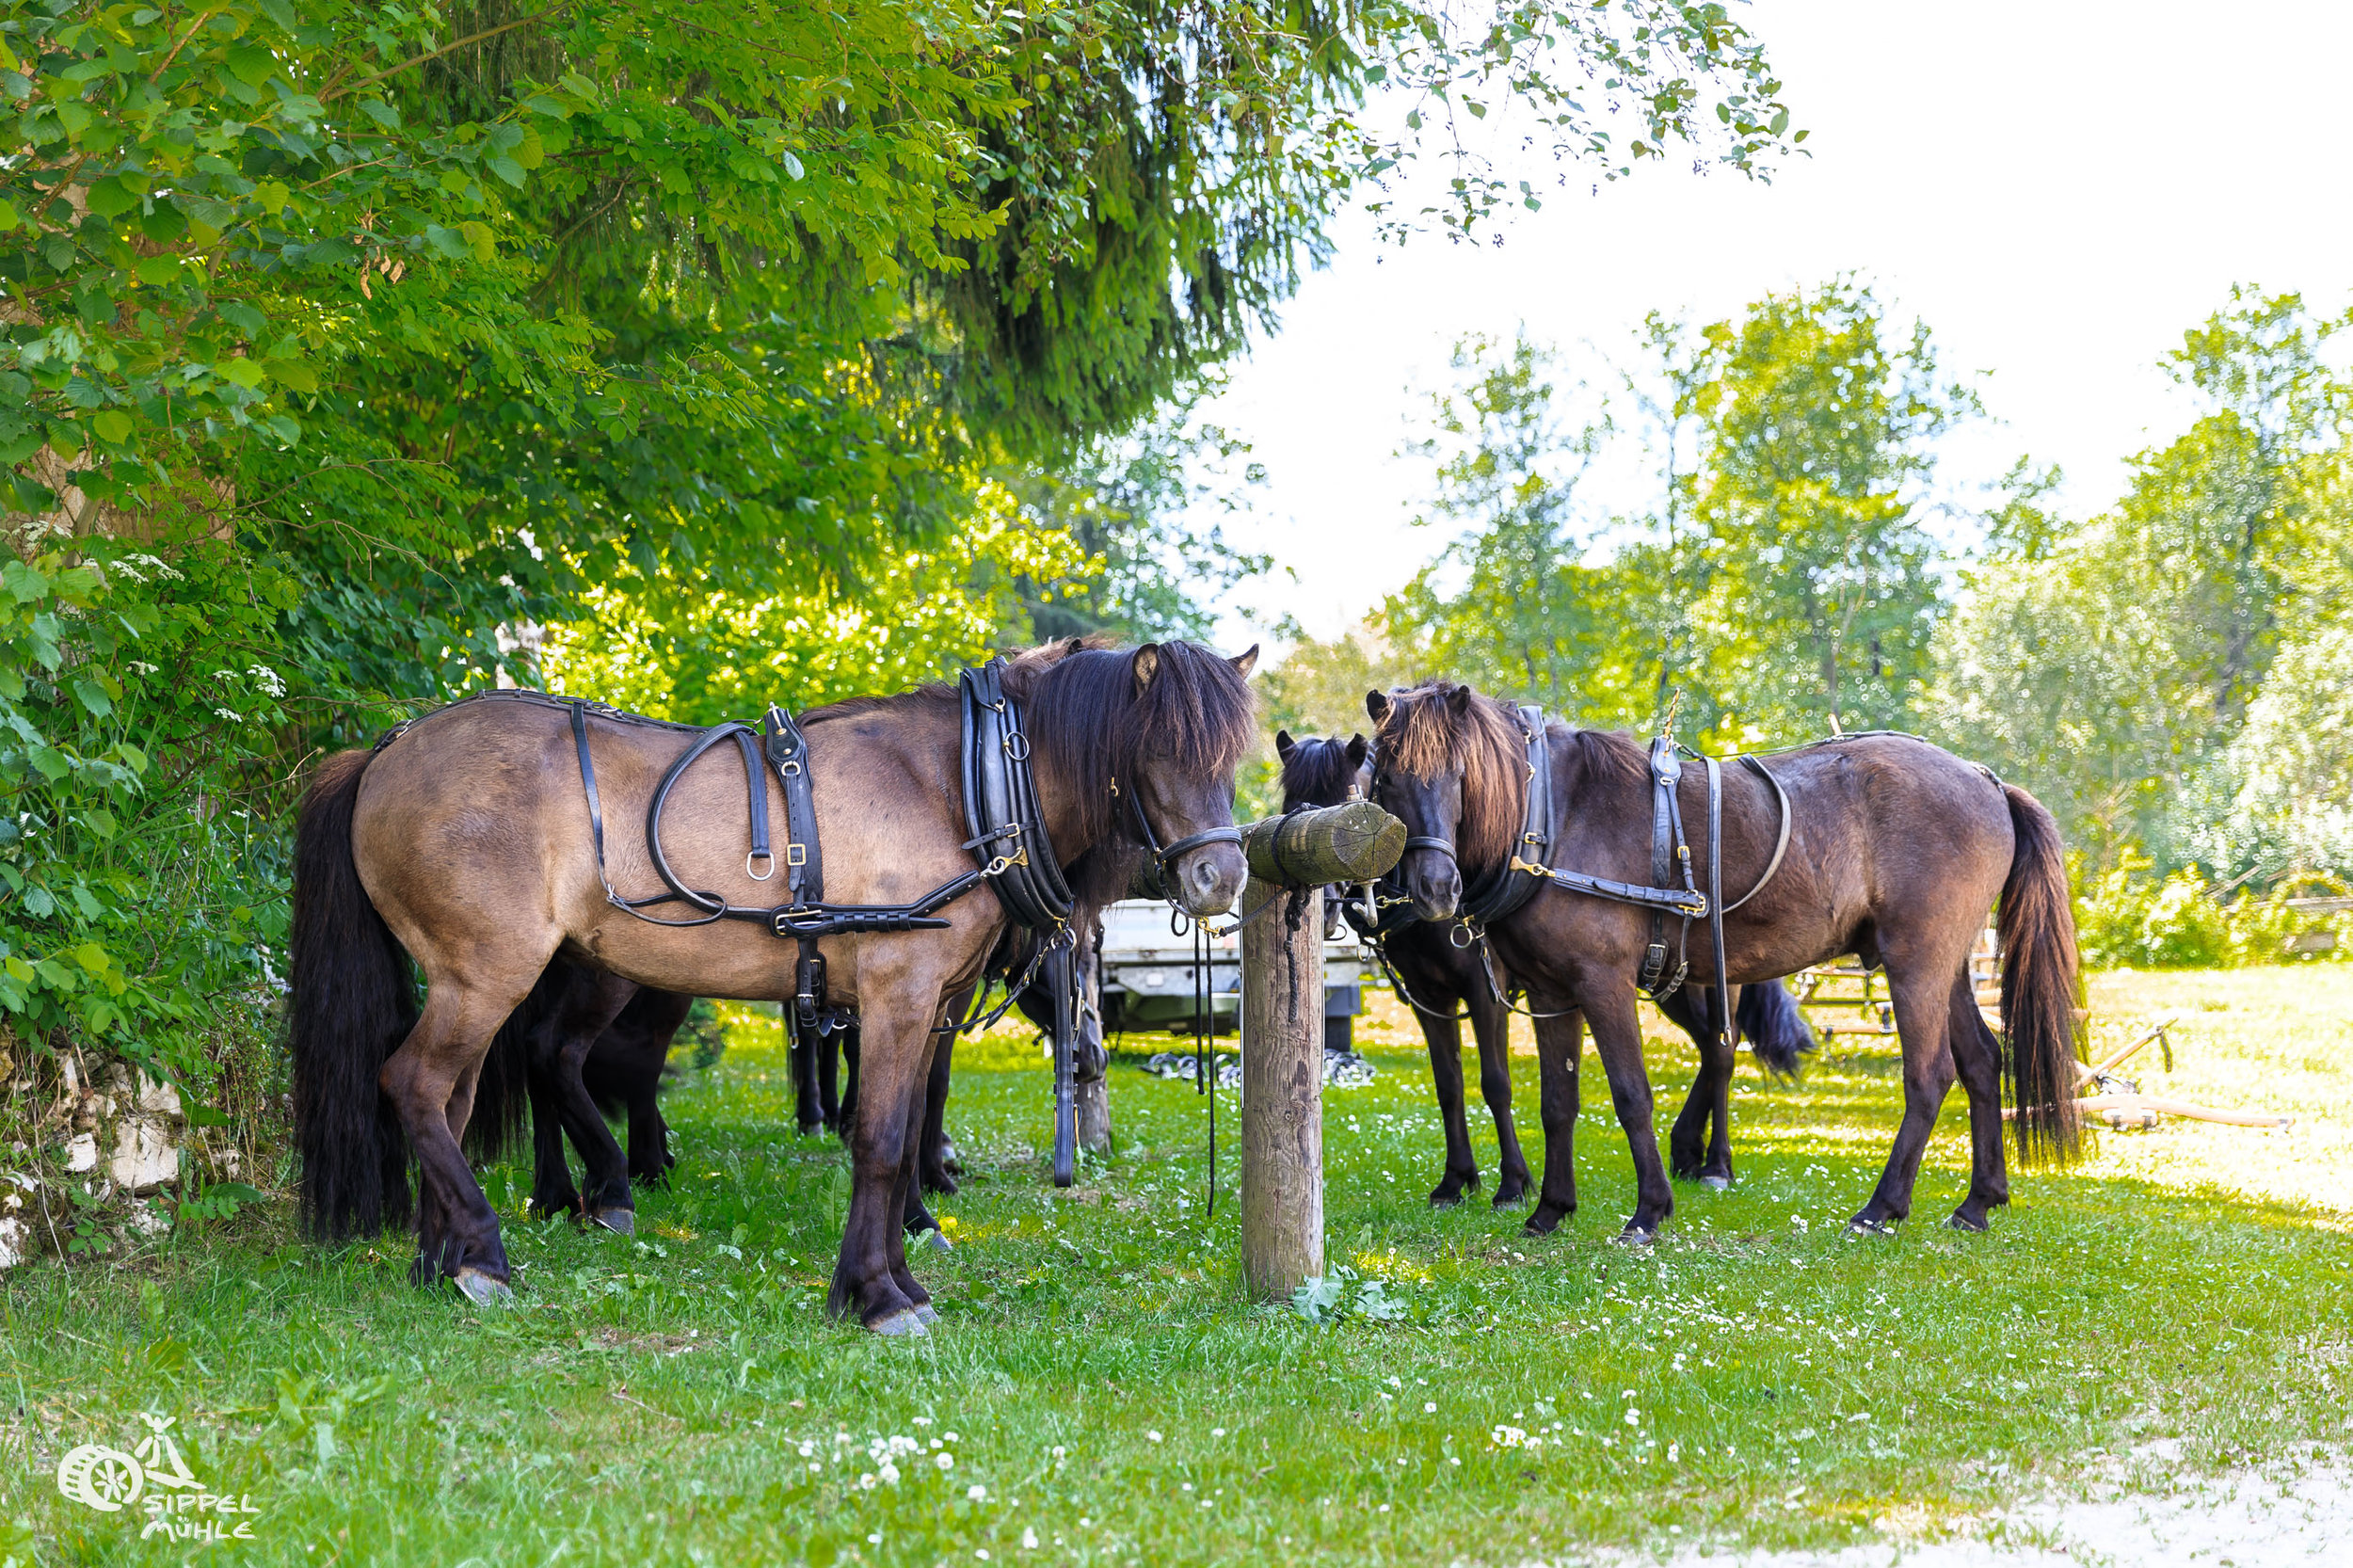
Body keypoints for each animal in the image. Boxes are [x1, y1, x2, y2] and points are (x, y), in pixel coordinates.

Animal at [294, 640, 1261, 1327]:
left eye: (1229, 758)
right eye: (1160, 749)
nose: (1221, 878)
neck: (964, 783)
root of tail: (383, 753)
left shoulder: (921, 1006)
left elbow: (906, 1130)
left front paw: (899, 1271)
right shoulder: (898, 995)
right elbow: (880, 1139)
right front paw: (875, 1296)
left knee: (456, 1100)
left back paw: (445, 1259)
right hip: (491, 972)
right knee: (421, 1082)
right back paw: (493, 1252)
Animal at [1374, 678, 2089, 1242]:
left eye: (1457, 774)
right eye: (1385, 778)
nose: (1435, 889)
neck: (1553, 815)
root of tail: (1984, 779)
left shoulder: (1603, 986)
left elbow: (1630, 1095)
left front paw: (1649, 1211)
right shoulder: (1554, 995)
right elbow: (1557, 1102)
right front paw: (1550, 1209)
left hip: (1916, 964)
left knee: (1930, 1076)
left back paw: (1881, 1207)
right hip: (1948, 969)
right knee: (1982, 1064)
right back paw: (1977, 1202)